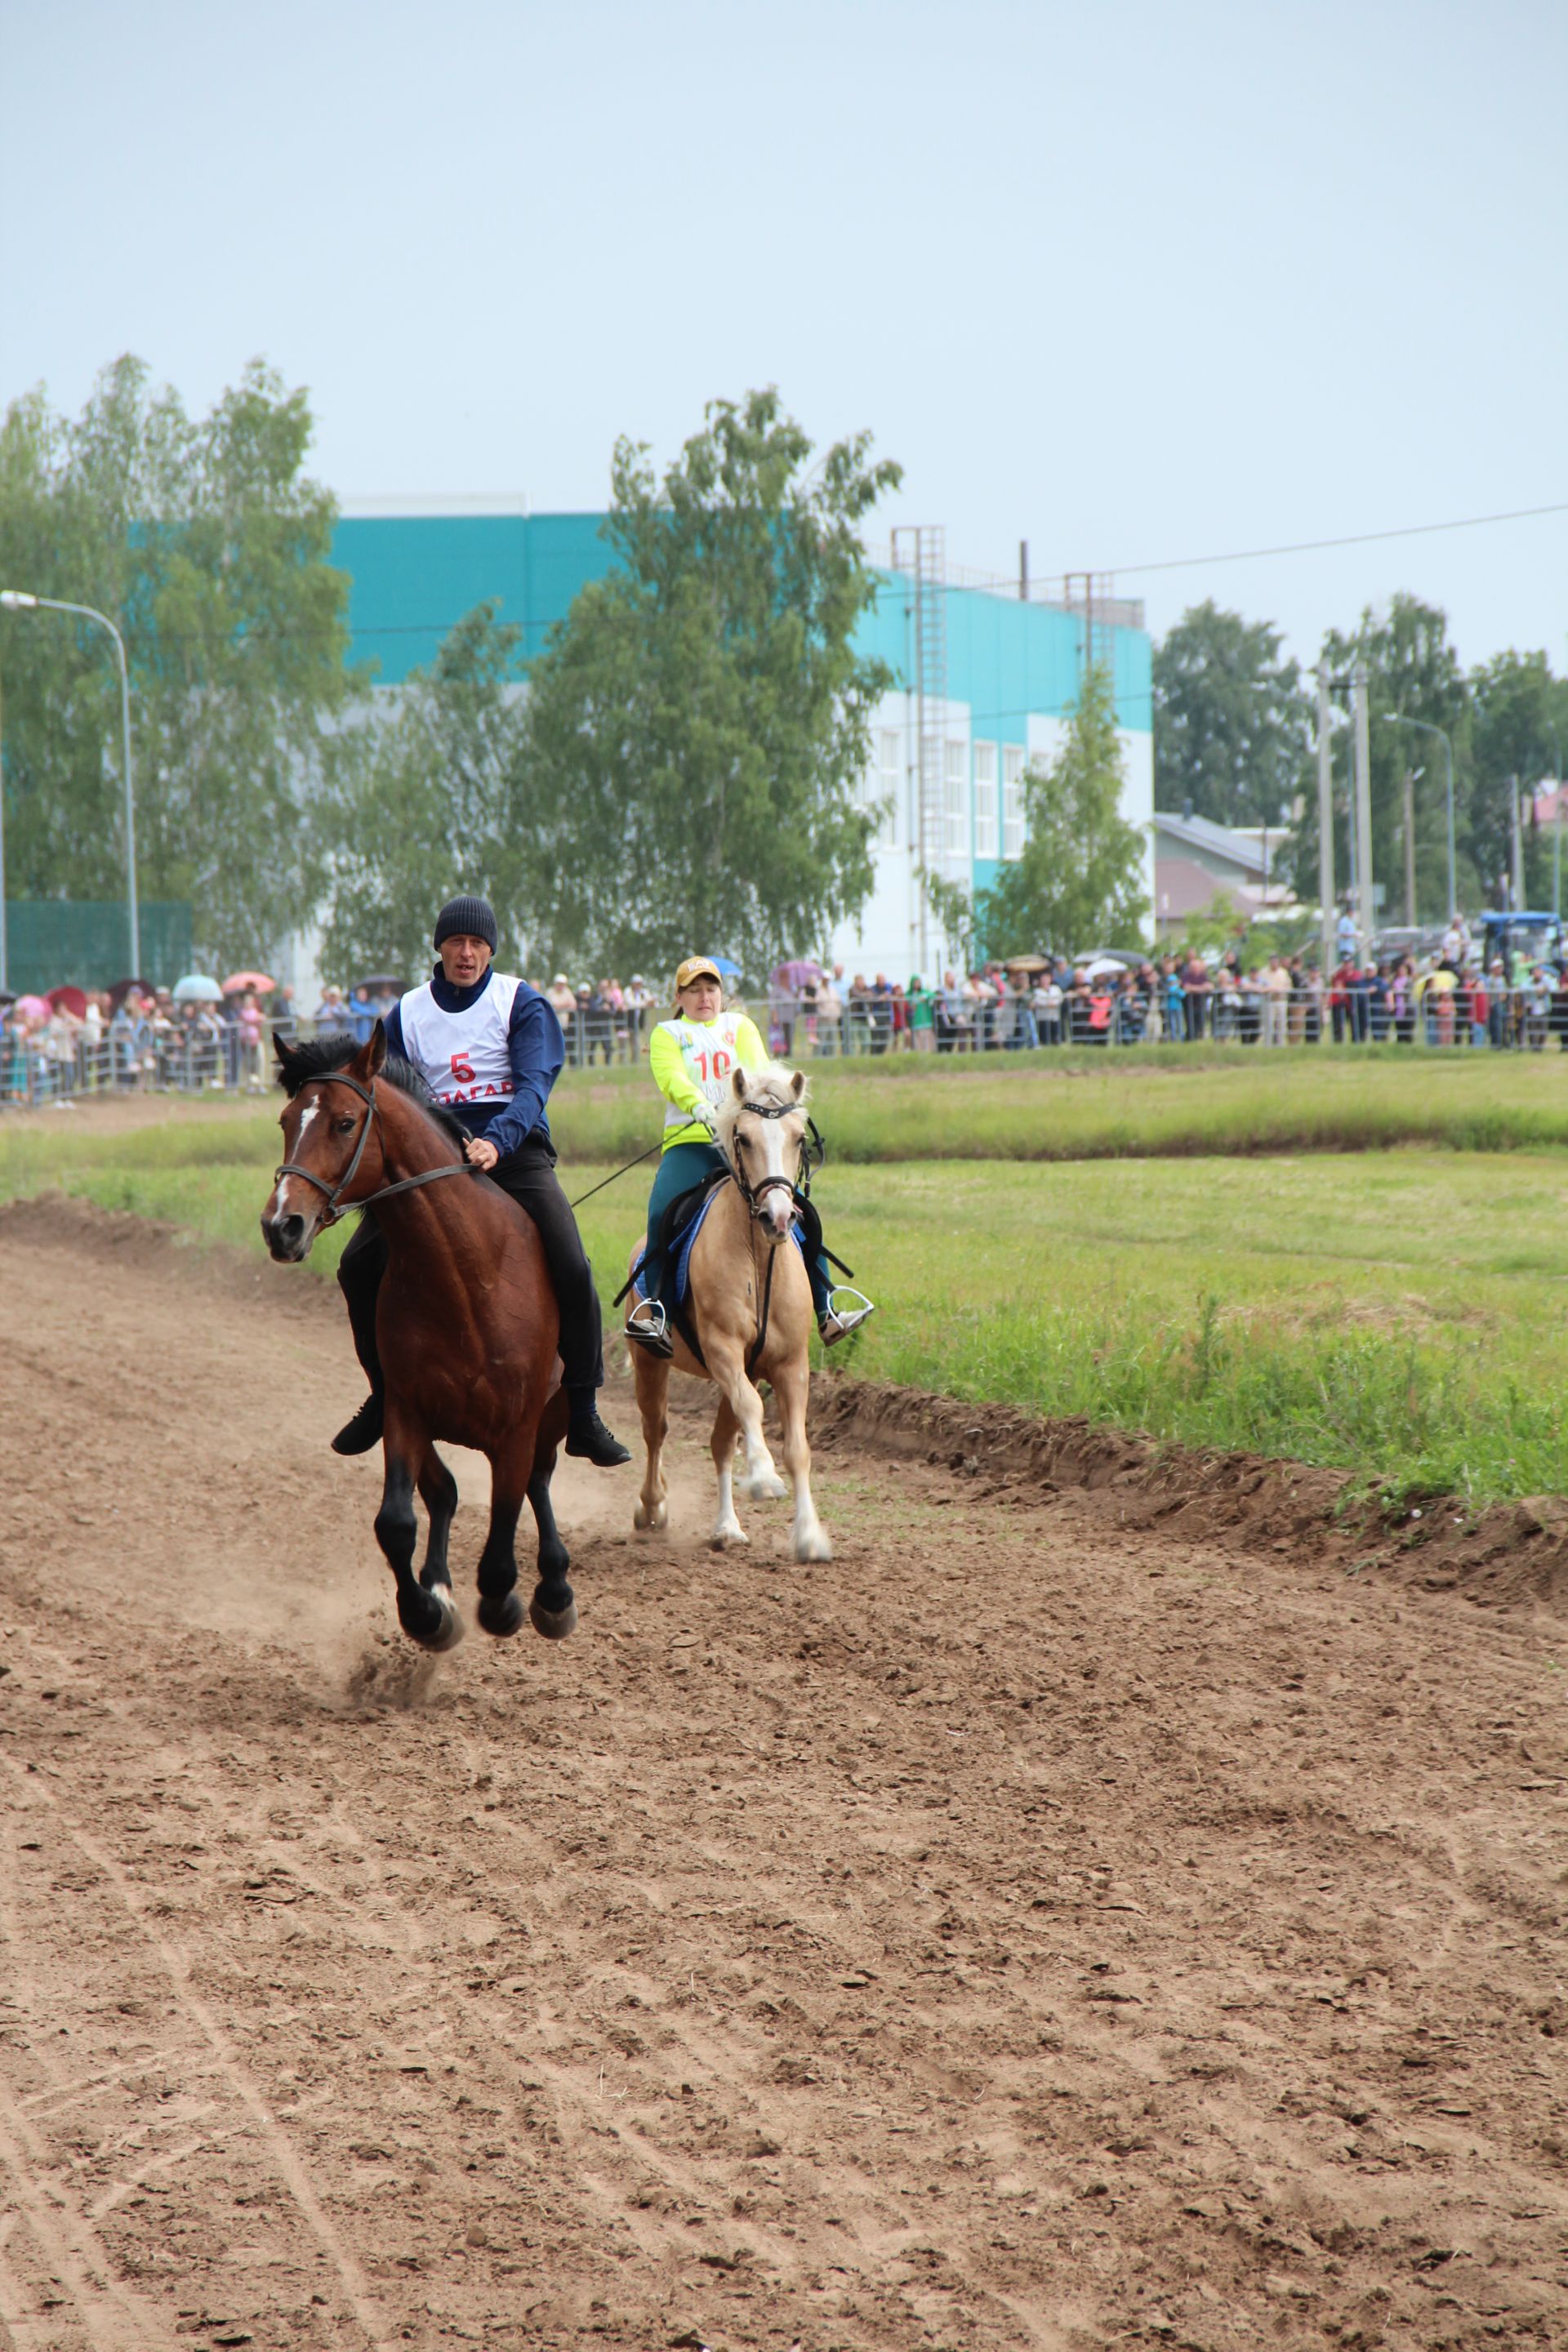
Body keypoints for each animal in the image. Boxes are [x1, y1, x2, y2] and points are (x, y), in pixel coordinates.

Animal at [261, 1030, 581, 1655]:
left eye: (345, 1122)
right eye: (287, 1120)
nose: (281, 1226)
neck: (464, 1276)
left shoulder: (517, 1428)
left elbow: (503, 1536)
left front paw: (504, 1605)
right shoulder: (405, 1412)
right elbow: (396, 1522)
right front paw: (428, 1613)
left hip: (554, 1413)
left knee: (539, 1481)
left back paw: (554, 1591)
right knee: (446, 1493)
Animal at [630, 1067, 832, 1561]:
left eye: (799, 1137)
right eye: (742, 1137)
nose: (778, 1217)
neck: (758, 1257)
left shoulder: (789, 1364)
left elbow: (797, 1448)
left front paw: (809, 1535)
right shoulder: (722, 1349)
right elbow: (753, 1410)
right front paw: (762, 1477)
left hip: (747, 1370)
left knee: (720, 1443)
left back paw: (727, 1527)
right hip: (651, 1362)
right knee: (656, 1431)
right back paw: (653, 1507)